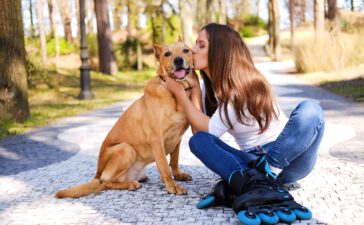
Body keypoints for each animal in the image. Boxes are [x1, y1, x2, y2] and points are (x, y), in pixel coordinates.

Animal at [55, 41, 200, 198]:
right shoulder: (156, 139)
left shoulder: (177, 138)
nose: (178, 60)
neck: (174, 92)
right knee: (105, 183)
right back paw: (130, 184)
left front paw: (178, 175)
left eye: (186, 50)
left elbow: (174, 161)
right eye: (167, 54)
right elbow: (164, 166)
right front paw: (172, 186)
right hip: (126, 149)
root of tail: (97, 174)